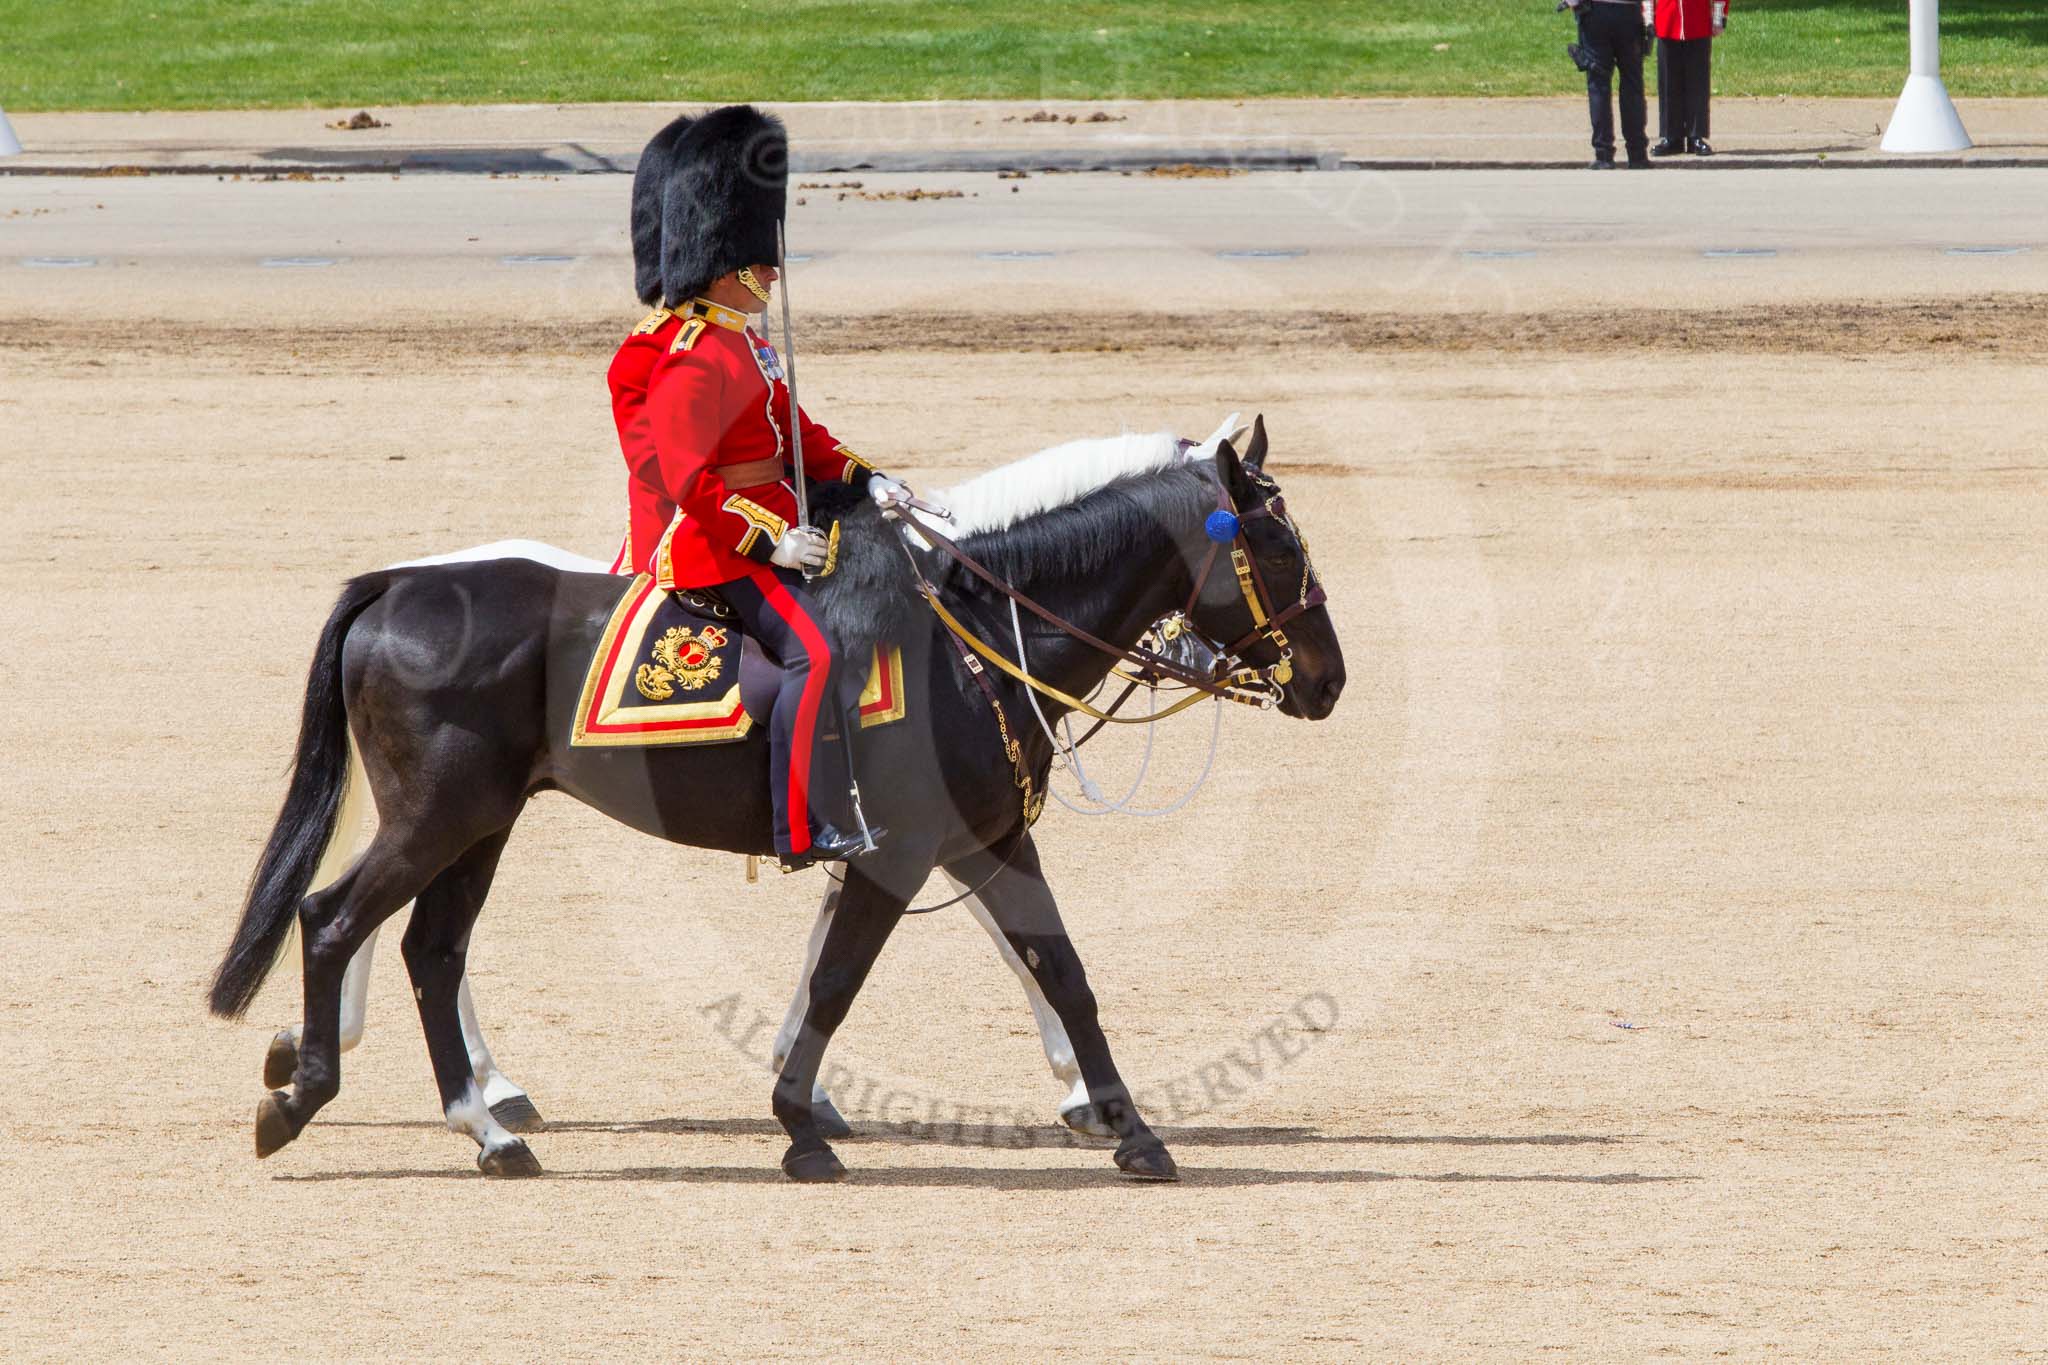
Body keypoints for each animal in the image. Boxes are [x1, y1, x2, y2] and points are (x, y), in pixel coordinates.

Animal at [207, 419, 1343, 1186]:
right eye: (1281, 547)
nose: (1329, 682)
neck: (974, 634)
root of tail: (397, 582)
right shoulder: (898, 848)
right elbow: (843, 978)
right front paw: (799, 1122)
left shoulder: (983, 837)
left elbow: (1058, 969)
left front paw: (1128, 1126)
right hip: (439, 815)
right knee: (333, 918)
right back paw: (308, 1091)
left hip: (481, 821)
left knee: (429, 952)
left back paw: (484, 1125)